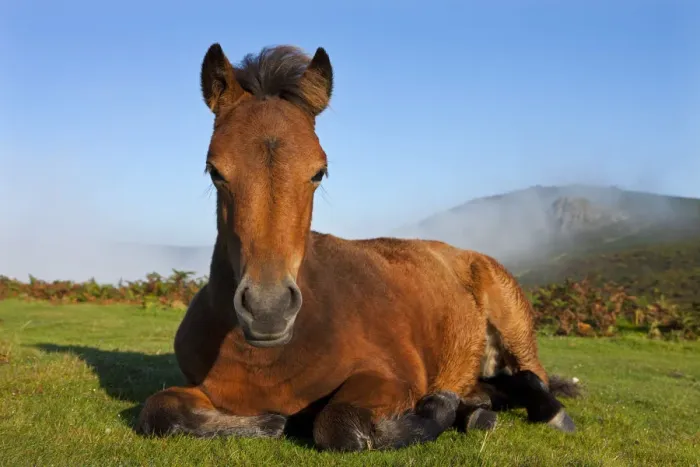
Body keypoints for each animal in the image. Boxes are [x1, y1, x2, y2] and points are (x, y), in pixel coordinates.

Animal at [135, 43, 580, 452]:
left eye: (319, 172)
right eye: (215, 170)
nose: (267, 309)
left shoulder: (392, 378)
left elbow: (339, 423)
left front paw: (437, 410)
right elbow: (159, 410)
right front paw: (270, 423)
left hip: (514, 325)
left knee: (532, 377)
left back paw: (540, 412)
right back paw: (476, 410)